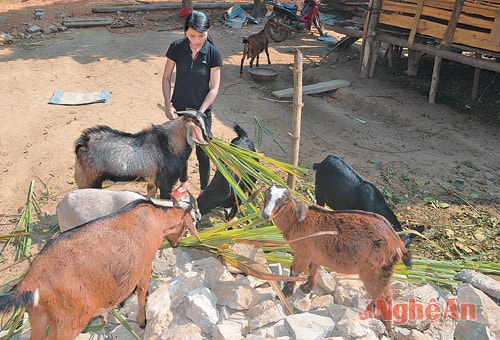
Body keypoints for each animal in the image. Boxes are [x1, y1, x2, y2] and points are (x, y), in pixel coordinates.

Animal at [0, 198, 201, 338]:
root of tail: (33, 279)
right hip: (69, 322)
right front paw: (141, 321)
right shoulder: (145, 264)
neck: (155, 217)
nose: (175, 244)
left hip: (39, 316)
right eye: (188, 225)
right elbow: (142, 292)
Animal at [75, 111, 212, 199]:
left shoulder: (152, 182)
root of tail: (84, 142)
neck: (169, 144)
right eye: (199, 123)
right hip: (89, 181)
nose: (210, 137)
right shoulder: (165, 184)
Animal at [249, 185, 410, 330]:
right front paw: (306, 288)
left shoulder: (303, 253)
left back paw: (386, 326)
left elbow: (294, 271)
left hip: (374, 270)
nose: (265, 215)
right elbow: (314, 269)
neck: (297, 221)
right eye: (266, 196)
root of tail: (398, 242)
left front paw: (284, 294)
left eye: (283, 201)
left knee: (385, 295)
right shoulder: (315, 255)